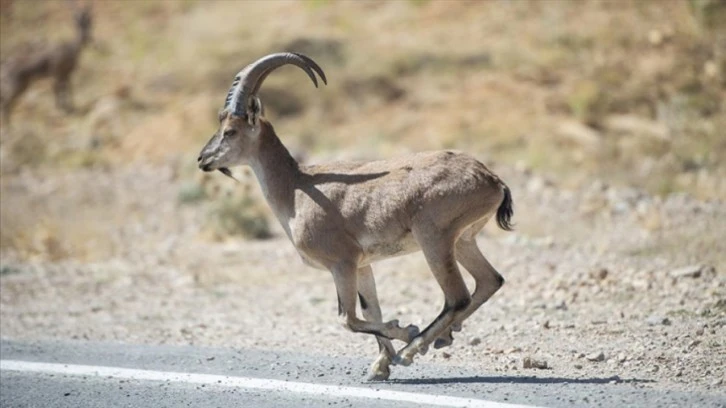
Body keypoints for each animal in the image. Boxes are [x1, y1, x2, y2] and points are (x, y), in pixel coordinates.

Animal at [199, 52, 516, 380]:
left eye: (230, 131)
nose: (203, 159)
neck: (297, 188)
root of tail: (491, 180)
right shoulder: (362, 266)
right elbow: (369, 310)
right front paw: (380, 366)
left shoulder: (342, 263)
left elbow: (347, 319)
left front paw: (404, 334)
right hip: (463, 240)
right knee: (489, 280)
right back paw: (439, 338)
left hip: (434, 239)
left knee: (458, 296)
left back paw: (413, 349)